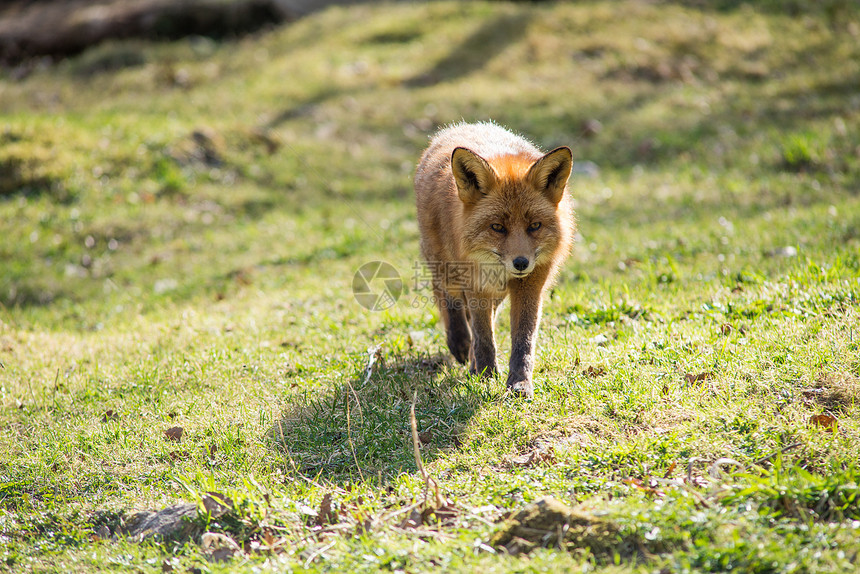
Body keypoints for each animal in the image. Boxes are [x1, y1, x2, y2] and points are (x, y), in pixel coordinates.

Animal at [414, 121, 576, 398]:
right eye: (498, 227)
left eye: (535, 226)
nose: (521, 263)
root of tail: (463, 126)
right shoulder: (476, 283)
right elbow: (483, 335)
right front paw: (485, 375)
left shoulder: (530, 285)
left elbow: (523, 340)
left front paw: (519, 383)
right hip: (444, 266)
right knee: (446, 296)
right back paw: (459, 343)